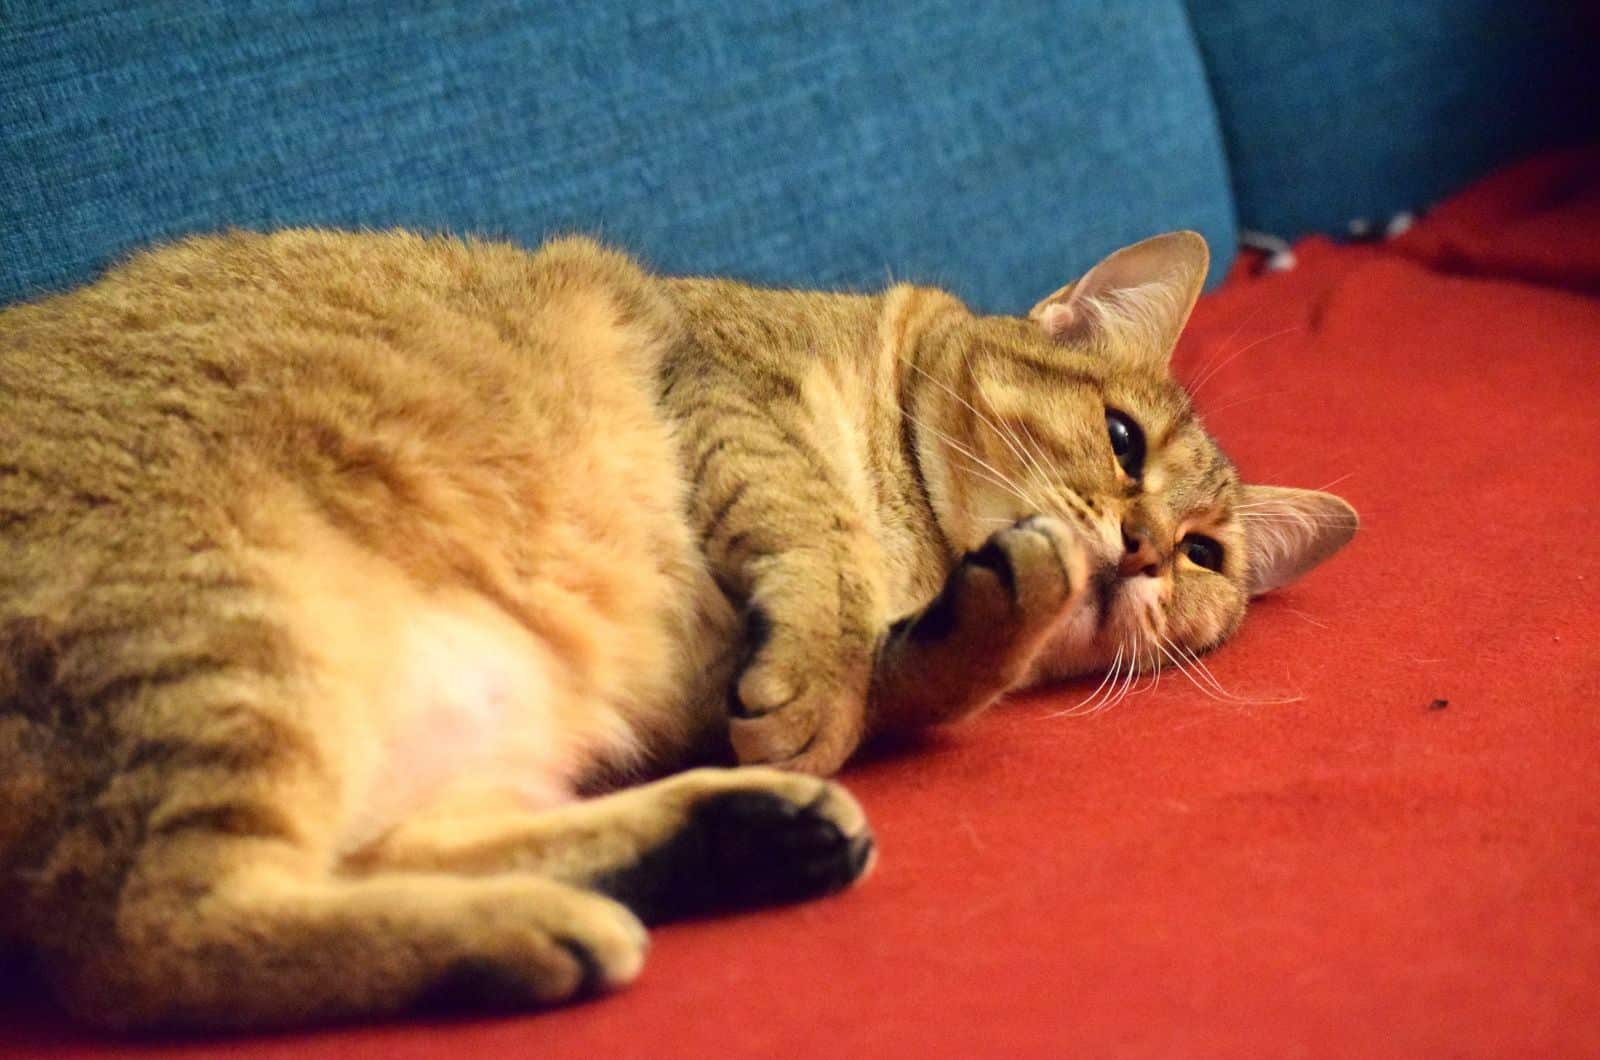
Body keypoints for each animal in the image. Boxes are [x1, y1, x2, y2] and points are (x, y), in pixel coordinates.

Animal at [0, 228, 1350, 1031]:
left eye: (1205, 554)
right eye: (1122, 440)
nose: (1141, 550)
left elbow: (918, 671)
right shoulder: (727, 388)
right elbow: (822, 564)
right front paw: (836, 670)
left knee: (356, 865)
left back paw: (735, 840)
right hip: (230, 631)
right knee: (147, 934)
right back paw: (538, 931)